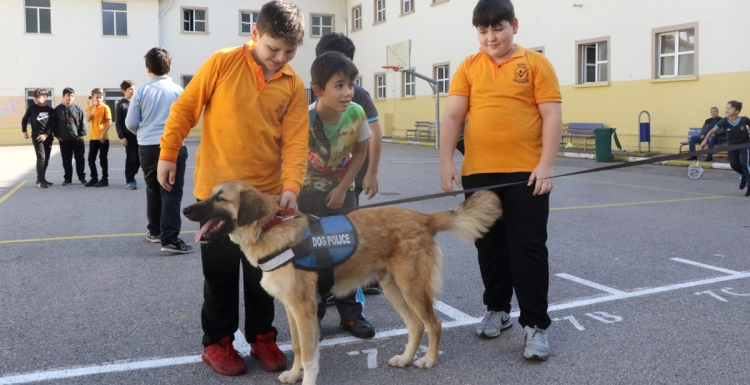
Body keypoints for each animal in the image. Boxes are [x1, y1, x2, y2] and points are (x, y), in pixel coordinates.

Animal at [181, 182, 500, 382]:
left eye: (220, 198)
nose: (185, 210)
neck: (269, 228)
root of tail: (424, 218)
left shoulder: (304, 309)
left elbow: (310, 355)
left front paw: (306, 380)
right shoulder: (292, 309)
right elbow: (298, 347)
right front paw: (294, 374)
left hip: (412, 288)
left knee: (433, 324)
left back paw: (428, 360)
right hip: (395, 289)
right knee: (416, 326)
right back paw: (406, 358)